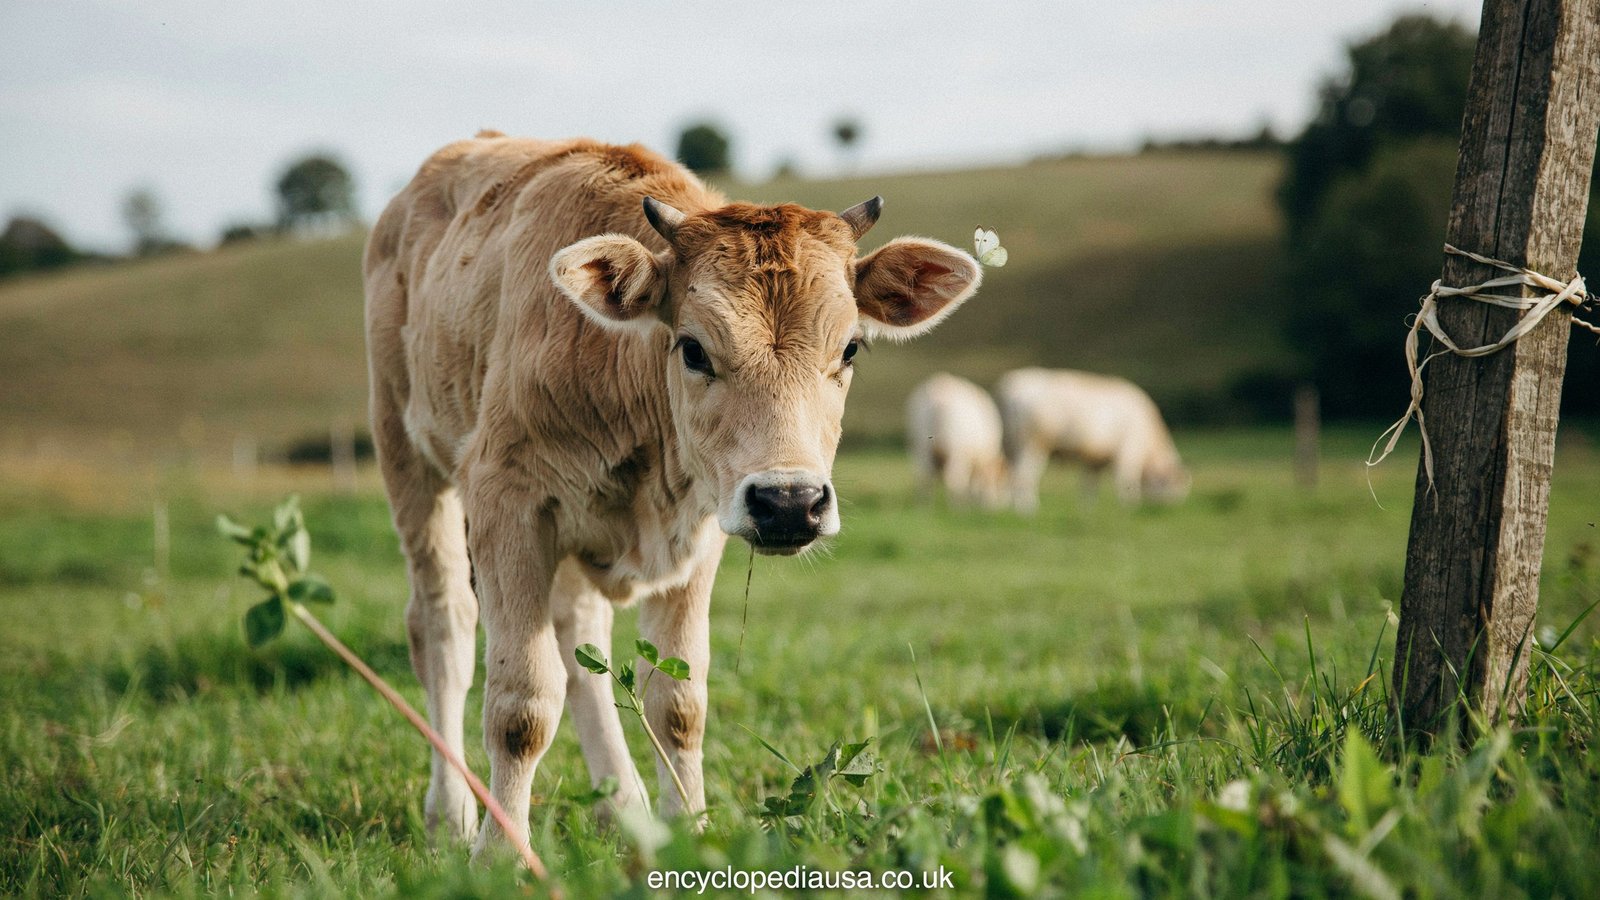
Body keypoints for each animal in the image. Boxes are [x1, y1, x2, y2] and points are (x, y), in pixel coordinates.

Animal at [363, 131, 982, 855]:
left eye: (851, 348)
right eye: (692, 349)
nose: (790, 502)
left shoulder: (700, 527)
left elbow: (677, 703)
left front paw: (687, 830)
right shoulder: (506, 501)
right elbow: (521, 706)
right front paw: (501, 854)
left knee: (581, 640)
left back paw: (621, 804)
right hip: (408, 457)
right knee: (444, 629)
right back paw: (452, 812)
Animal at [905, 373, 1007, 509]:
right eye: (1002, 483)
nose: (1000, 506)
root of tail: (940, 390)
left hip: (920, 445)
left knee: (923, 475)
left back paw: (924, 507)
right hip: (956, 449)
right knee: (954, 478)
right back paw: (957, 507)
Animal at [995, 367, 1189, 512]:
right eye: (1173, 489)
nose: (1169, 509)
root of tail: (1012, 384)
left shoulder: (1093, 459)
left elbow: (1089, 486)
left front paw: (1087, 510)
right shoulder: (1128, 451)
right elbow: (1125, 480)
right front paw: (1128, 507)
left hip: (1010, 446)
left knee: (1012, 474)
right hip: (1033, 444)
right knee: (1025, 475)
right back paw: (1027, 508)